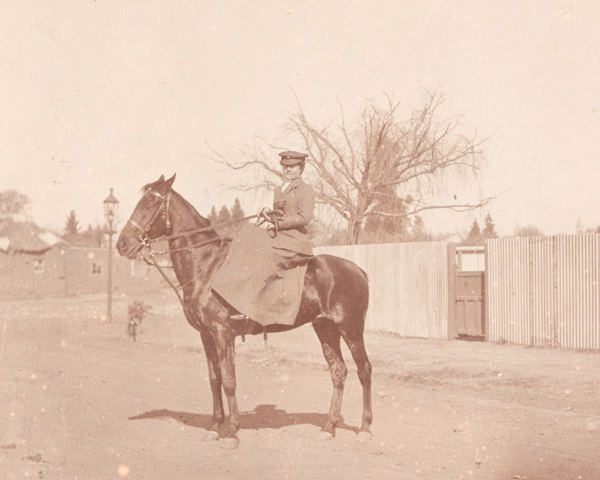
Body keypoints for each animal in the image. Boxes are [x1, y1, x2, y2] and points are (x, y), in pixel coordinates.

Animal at [115, 173, 372, 446]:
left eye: (151, 204)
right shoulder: (207, 336)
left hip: (351, 330)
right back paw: (329, 427)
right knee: (339, 372)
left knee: (364, 370)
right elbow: (214, 379)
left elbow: (229, 382)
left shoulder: (223, 334)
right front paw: (214, 425)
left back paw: (365, 428)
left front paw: (232, 431)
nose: (122, 244)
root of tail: (358, 269)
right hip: (325, 329)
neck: (207, 267)